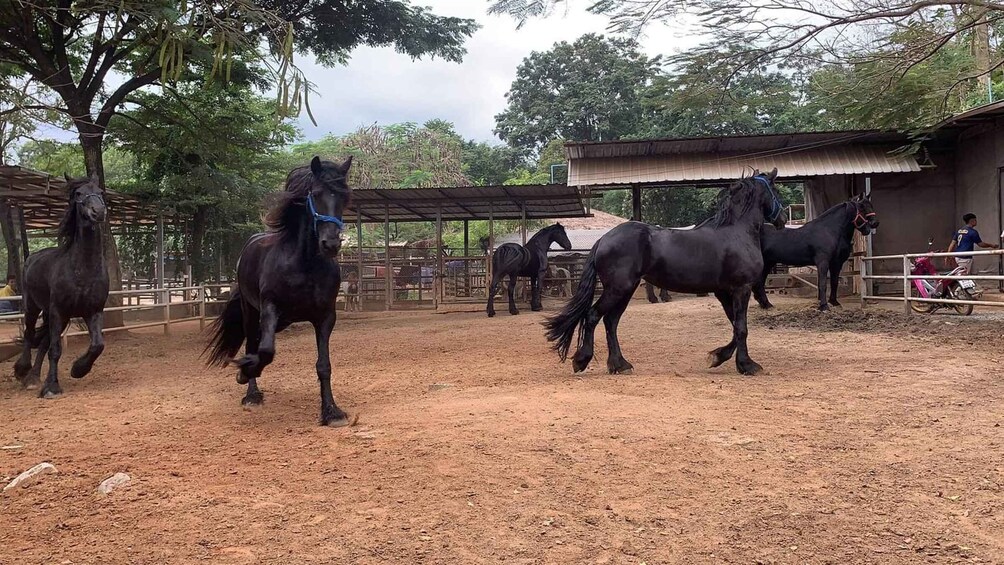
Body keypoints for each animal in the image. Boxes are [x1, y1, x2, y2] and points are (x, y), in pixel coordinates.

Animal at [13, 174, 108, 399]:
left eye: (100, 192)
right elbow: (55, 350)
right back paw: (23, 371)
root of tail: (32, 259)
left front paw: (78, 369)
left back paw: (33, 377)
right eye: (79, 193)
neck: (83, 270)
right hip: (33, 308)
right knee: (30, 335)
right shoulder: (59, 311)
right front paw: (51, 387)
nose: (98, 212)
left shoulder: (93, 311)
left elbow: (97, 345)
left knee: (43, 343)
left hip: (51, 315)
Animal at [203, 156, 353, 427]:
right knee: (252, 342)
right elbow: (266, 350)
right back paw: (251, 392)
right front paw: (246, 372)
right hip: (251, 312)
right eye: (316, 193)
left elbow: (323, 365)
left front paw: (331, 412)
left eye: (344, 197)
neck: (304, 264)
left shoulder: (326, 317)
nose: (331, 244)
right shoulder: (270, 309)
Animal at [550, 170, 783, 377]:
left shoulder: (724, 292)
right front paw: (747, 365)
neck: (735, 232)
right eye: (776, 191)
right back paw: (583, 361)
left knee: (611, 322)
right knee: (593, 316)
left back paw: (619, 365)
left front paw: (717, 357)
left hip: (625, 290)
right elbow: (741, 327)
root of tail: (603, 239)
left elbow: (735, 326)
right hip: (618, 289)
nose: (781, 220)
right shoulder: (741, 289)